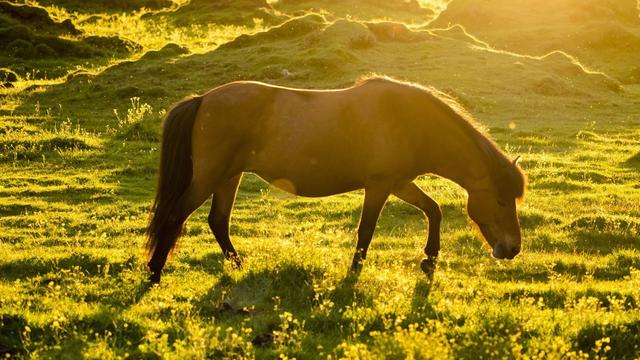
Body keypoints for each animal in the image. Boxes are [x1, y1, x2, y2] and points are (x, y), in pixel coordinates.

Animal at [145, 76, 524, 284]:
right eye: (501, 200)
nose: (512, 249)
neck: (410, 122)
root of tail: (203, 99)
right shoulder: (380, 185)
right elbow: (367, 230)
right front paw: (354, 272)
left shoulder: (399, 182)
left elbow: (433, 210)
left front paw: (429, 261)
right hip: (210, 177)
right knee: (176, 215)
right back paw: (154, 272)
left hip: (229, 176)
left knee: (218, 221)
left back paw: (239, 265)